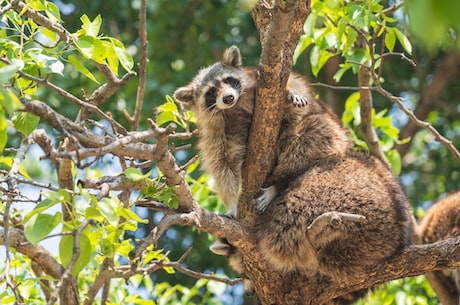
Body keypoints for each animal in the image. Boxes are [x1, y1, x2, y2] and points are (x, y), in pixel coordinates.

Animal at [173, 46, 352, 215]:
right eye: (210, 92)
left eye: (227, 80)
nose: (228, 98)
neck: (234, 107)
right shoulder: (216, 132)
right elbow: (223, 164)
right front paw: (231, 203)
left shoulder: (259, 82)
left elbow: (293, 84)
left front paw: (291, 91)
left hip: (332, 131)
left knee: (309, 136)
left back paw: (279, 182)